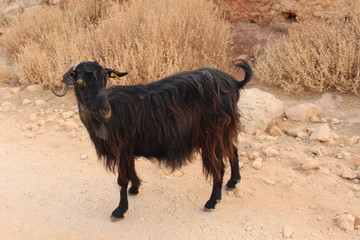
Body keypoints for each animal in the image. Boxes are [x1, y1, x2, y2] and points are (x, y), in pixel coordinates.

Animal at [50, 59, 253, 219]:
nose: (105, 111)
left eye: (105, 79)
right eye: (80, 81)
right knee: (233, 150)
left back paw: (212, 201)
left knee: (219, 166)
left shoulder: (121, 147)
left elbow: (121, 179)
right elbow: (131, 170)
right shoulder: (128, 147)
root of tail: (233, 82)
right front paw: (135, 188)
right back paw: (233, 182)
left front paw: (120, 211)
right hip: (224, 131)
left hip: (211, 134)